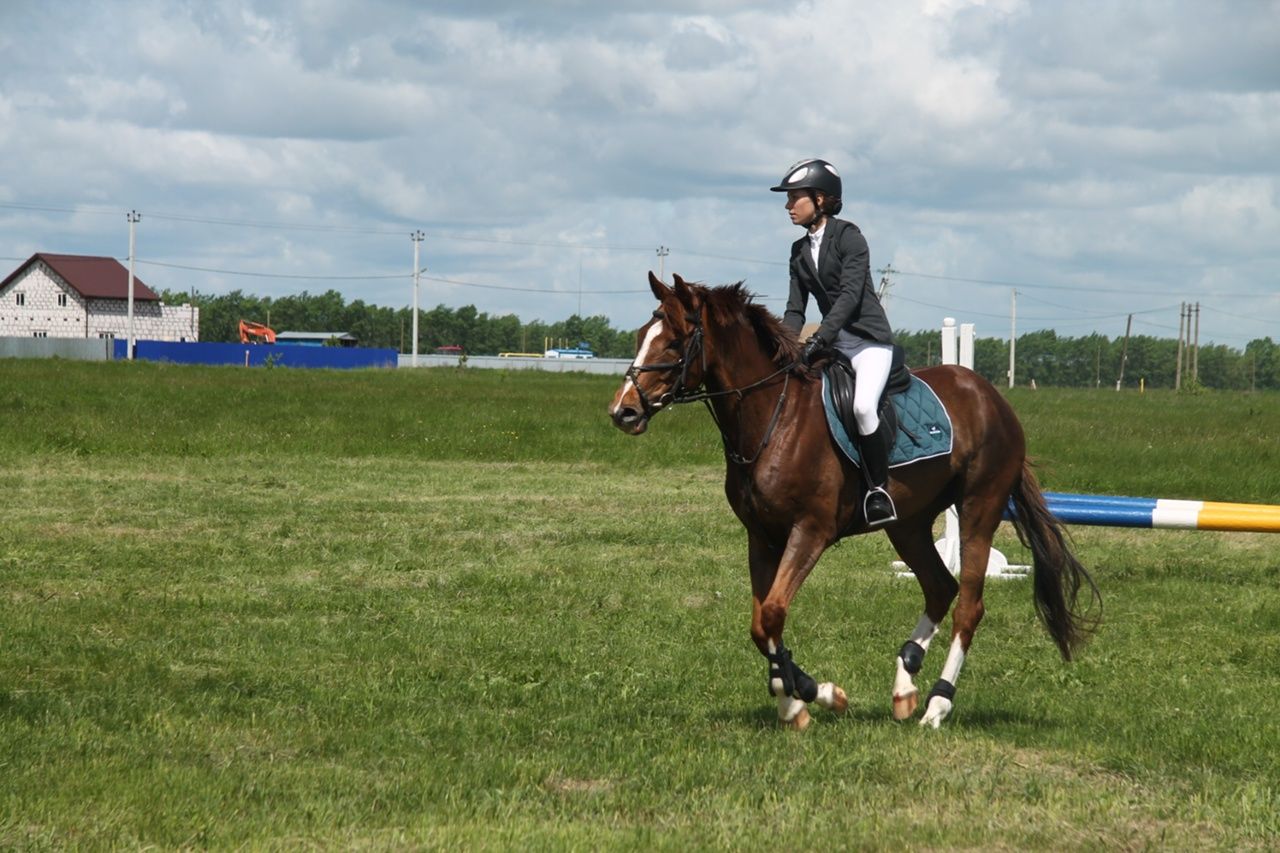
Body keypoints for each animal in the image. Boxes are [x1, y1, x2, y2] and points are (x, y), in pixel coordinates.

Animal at [609, 275, 1100, 727]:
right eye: (641, 335)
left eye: (674, 341)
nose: (623, 412)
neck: (772, 418)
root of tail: (991, 396)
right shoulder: (761, 538)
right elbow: (762, 624)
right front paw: (798, 699)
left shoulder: (809, 531)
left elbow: (772, 614)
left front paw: (812, 695)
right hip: (908, 523)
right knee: (940, 587)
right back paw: (905, 683)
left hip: (980, 508)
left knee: (968, 606)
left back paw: (937, 705)